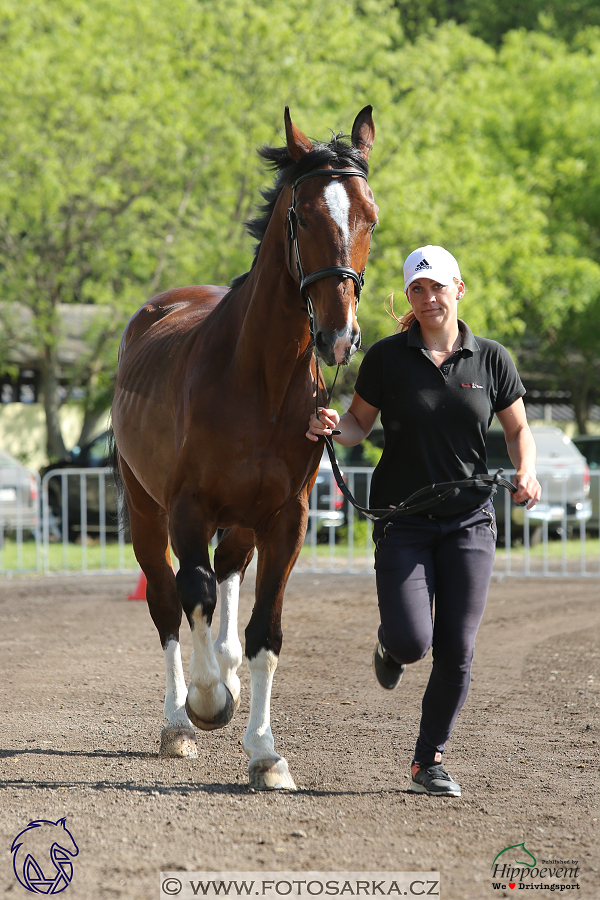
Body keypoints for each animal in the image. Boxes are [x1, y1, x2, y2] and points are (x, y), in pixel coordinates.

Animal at [110, 105, 378, 788]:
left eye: (369, 215)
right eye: (302, 215)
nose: (339, 337)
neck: (259, 380)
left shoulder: (286, 518)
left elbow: (265, 633)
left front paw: (264, 752)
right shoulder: (187, 510)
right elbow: (193, 596)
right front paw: (208, 703)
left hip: (244, 521)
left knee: (228, 580)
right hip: (147, 511)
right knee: (168, 600)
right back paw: (179, 721)